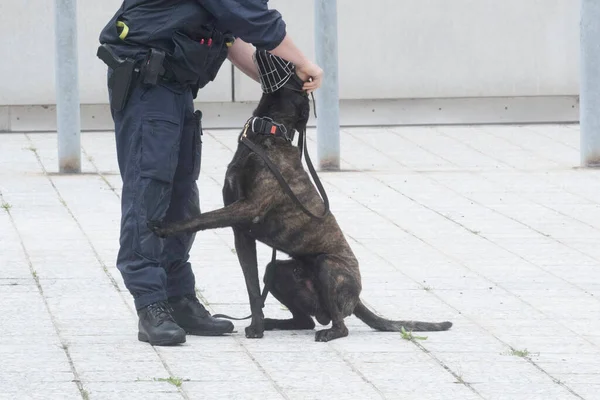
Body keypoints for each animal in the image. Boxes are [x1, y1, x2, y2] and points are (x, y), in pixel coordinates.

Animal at [149, 61, 450, 342]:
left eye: (294, 71)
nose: (288, 56)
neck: (267, 132)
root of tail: (356, 301)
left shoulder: (247, 208)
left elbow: (200, 218)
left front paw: (165, 227)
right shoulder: (242, 235)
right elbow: (253, 290)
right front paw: (257, 327)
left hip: (328, 267)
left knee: (339, 326)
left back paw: (328, 333)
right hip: (277, 272)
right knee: (304, 320)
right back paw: (273, 322)